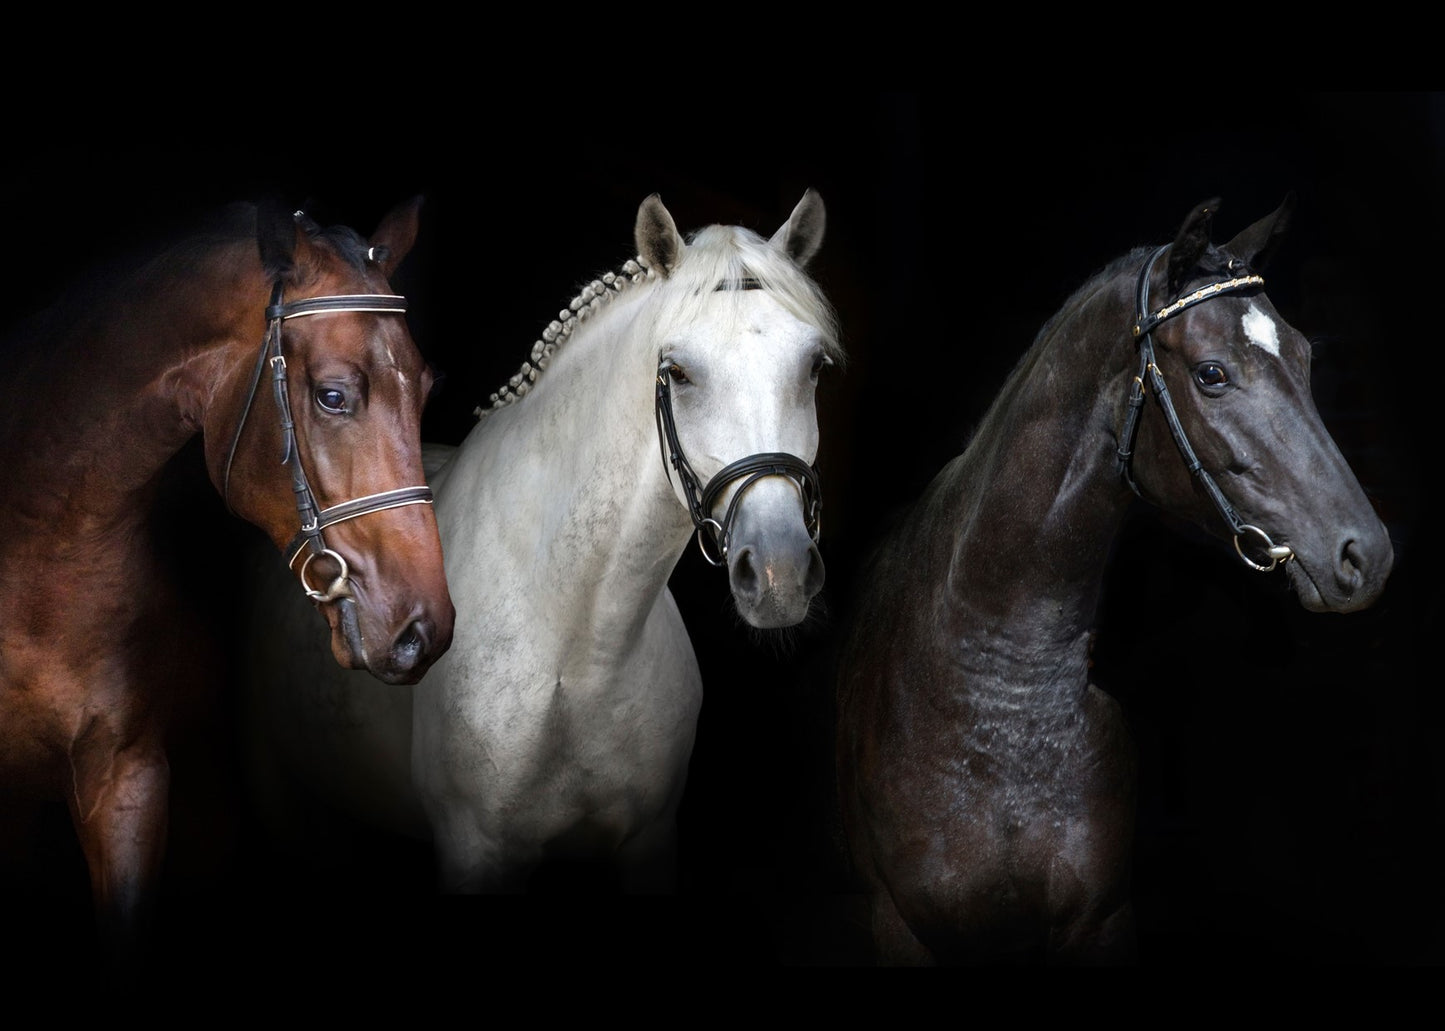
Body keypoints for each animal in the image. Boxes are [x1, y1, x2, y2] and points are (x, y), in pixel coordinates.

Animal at [238, 189, 839, 897]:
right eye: (678, 372)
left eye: (813, 366)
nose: (779, 572)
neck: (578, 650)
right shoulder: (476, 850)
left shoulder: (650, 840)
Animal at [833, 196, 1394, 965]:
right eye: (1212, 373)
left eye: (1306, 357)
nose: (1365, 555)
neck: (1000, 704)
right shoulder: (901, 927)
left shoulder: (1101, 921)